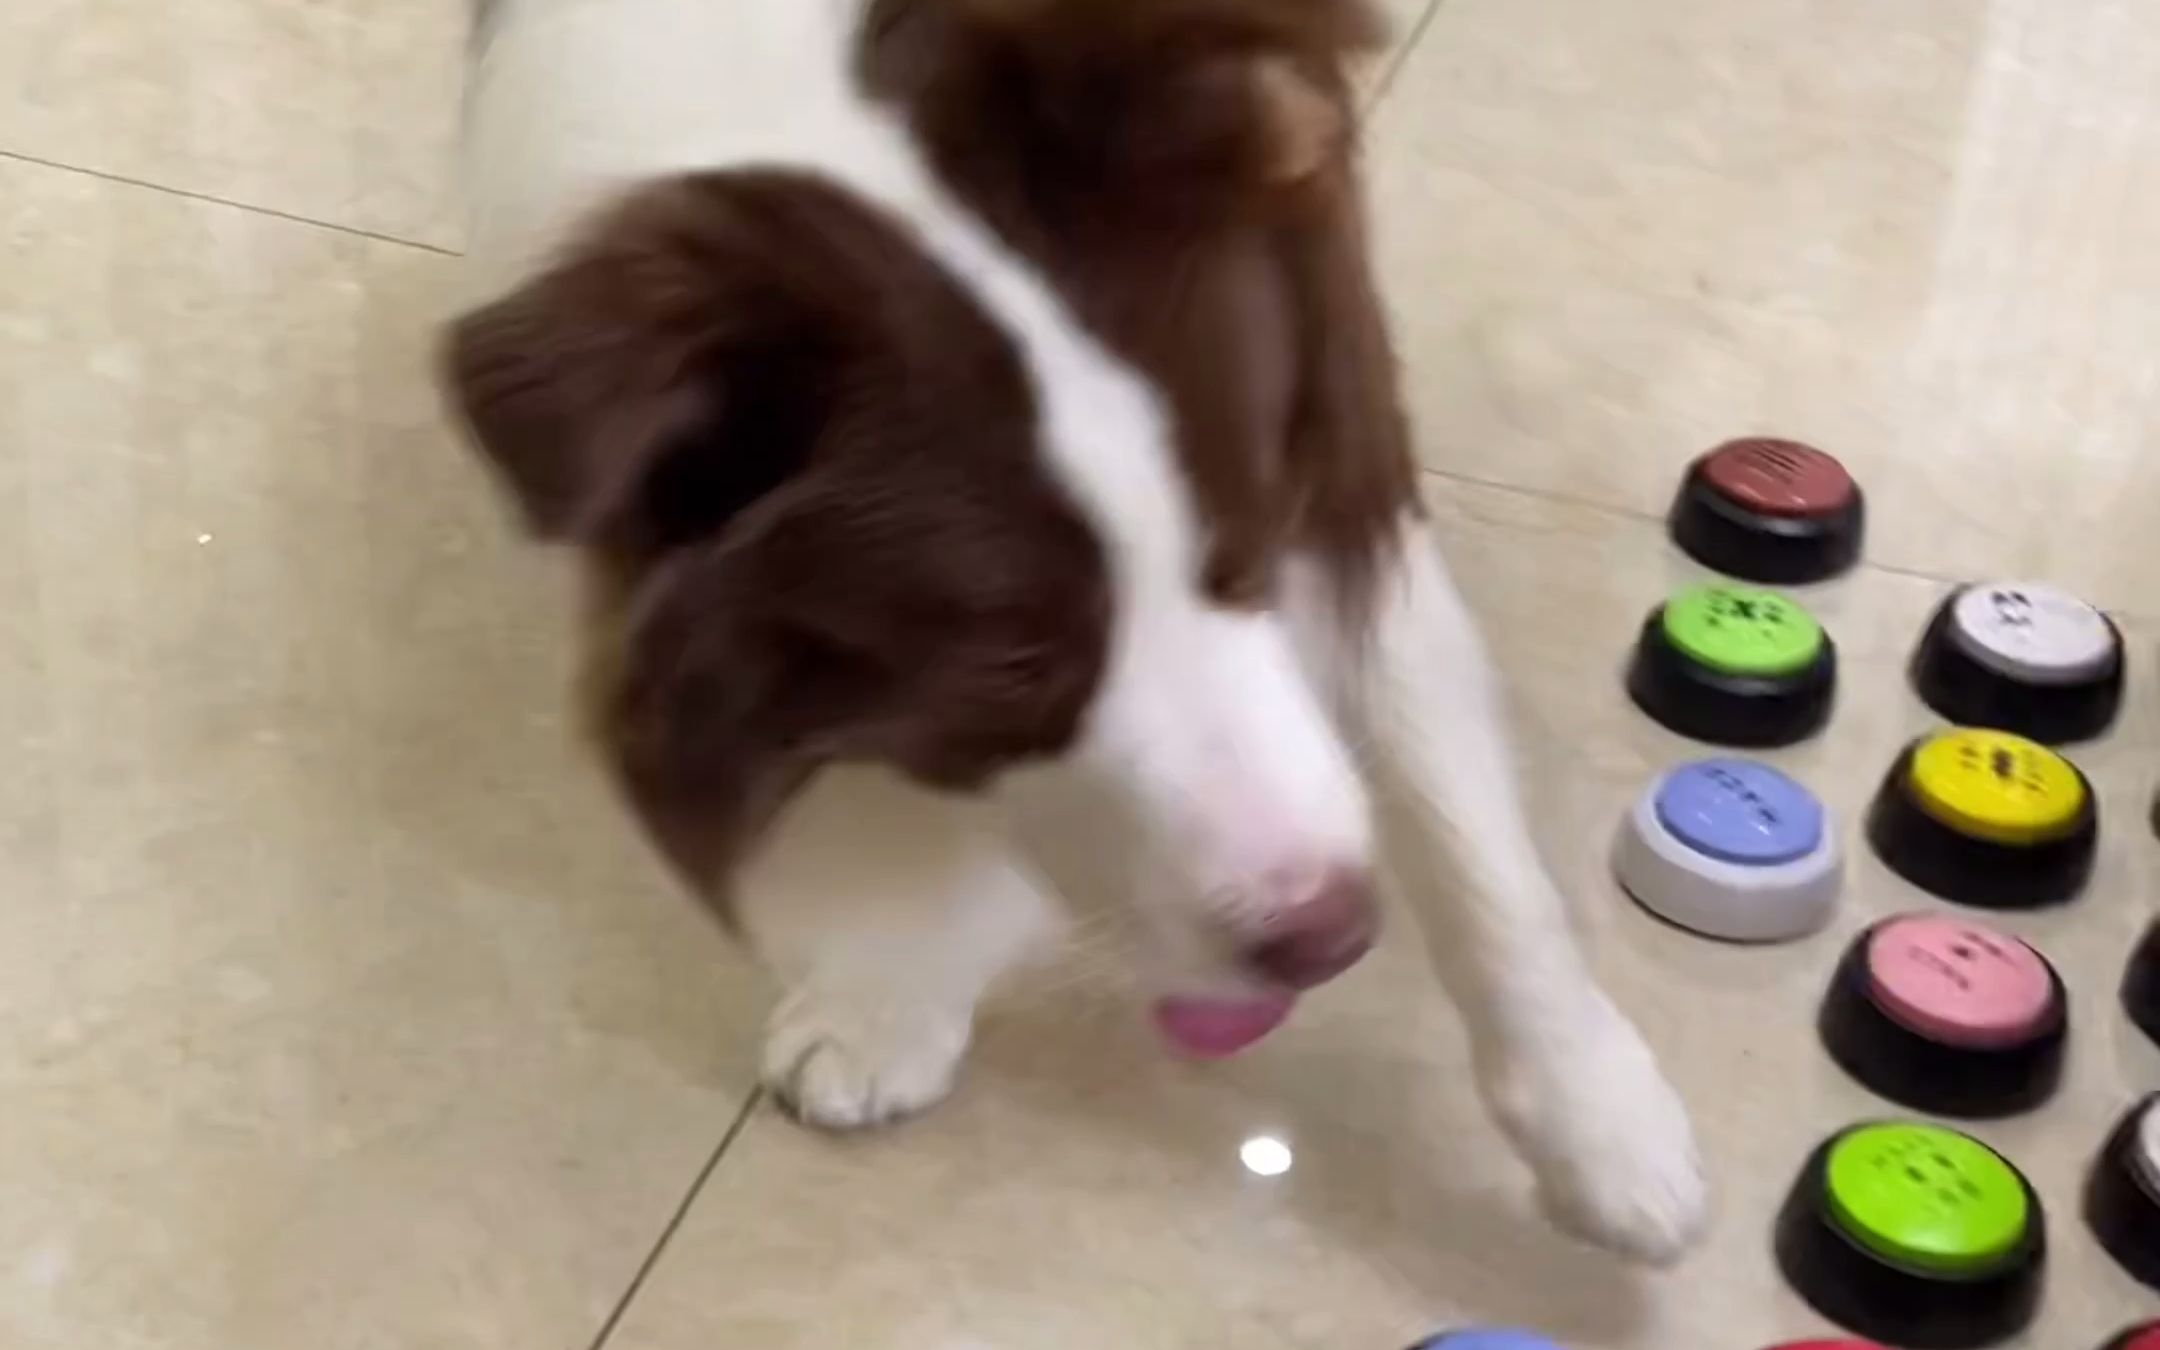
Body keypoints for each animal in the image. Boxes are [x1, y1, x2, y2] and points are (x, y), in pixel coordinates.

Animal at [442, 0, 1707, 1265]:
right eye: (1009, 661)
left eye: (1254, 544)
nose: (1328, 940)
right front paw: (886, 996)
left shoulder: (1338, 423)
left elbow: (1457, 823)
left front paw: (1604, 1125)